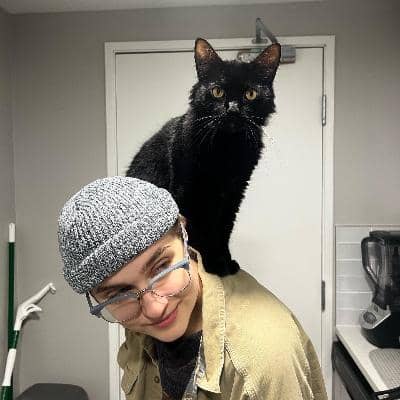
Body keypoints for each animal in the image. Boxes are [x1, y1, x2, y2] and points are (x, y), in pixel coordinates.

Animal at [126, 37, 280, 276]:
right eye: (217, 92)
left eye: (250, 94)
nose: (233, 109)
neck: (227, 148)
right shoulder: (189, 193)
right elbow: (200, 233)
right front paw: (211, 265)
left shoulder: (232, 195)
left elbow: (223, 231)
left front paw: (225, 261)